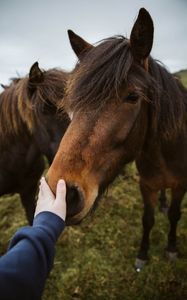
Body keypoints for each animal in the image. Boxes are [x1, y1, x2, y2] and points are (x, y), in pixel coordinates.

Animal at [46, 8, 187, 268]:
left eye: (133, 97)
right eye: (74, 103)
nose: (64, 194)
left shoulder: (181, 185)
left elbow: (174, 215)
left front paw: (171, 248)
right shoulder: (146, 185)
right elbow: (147, 219)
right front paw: (143, 254)